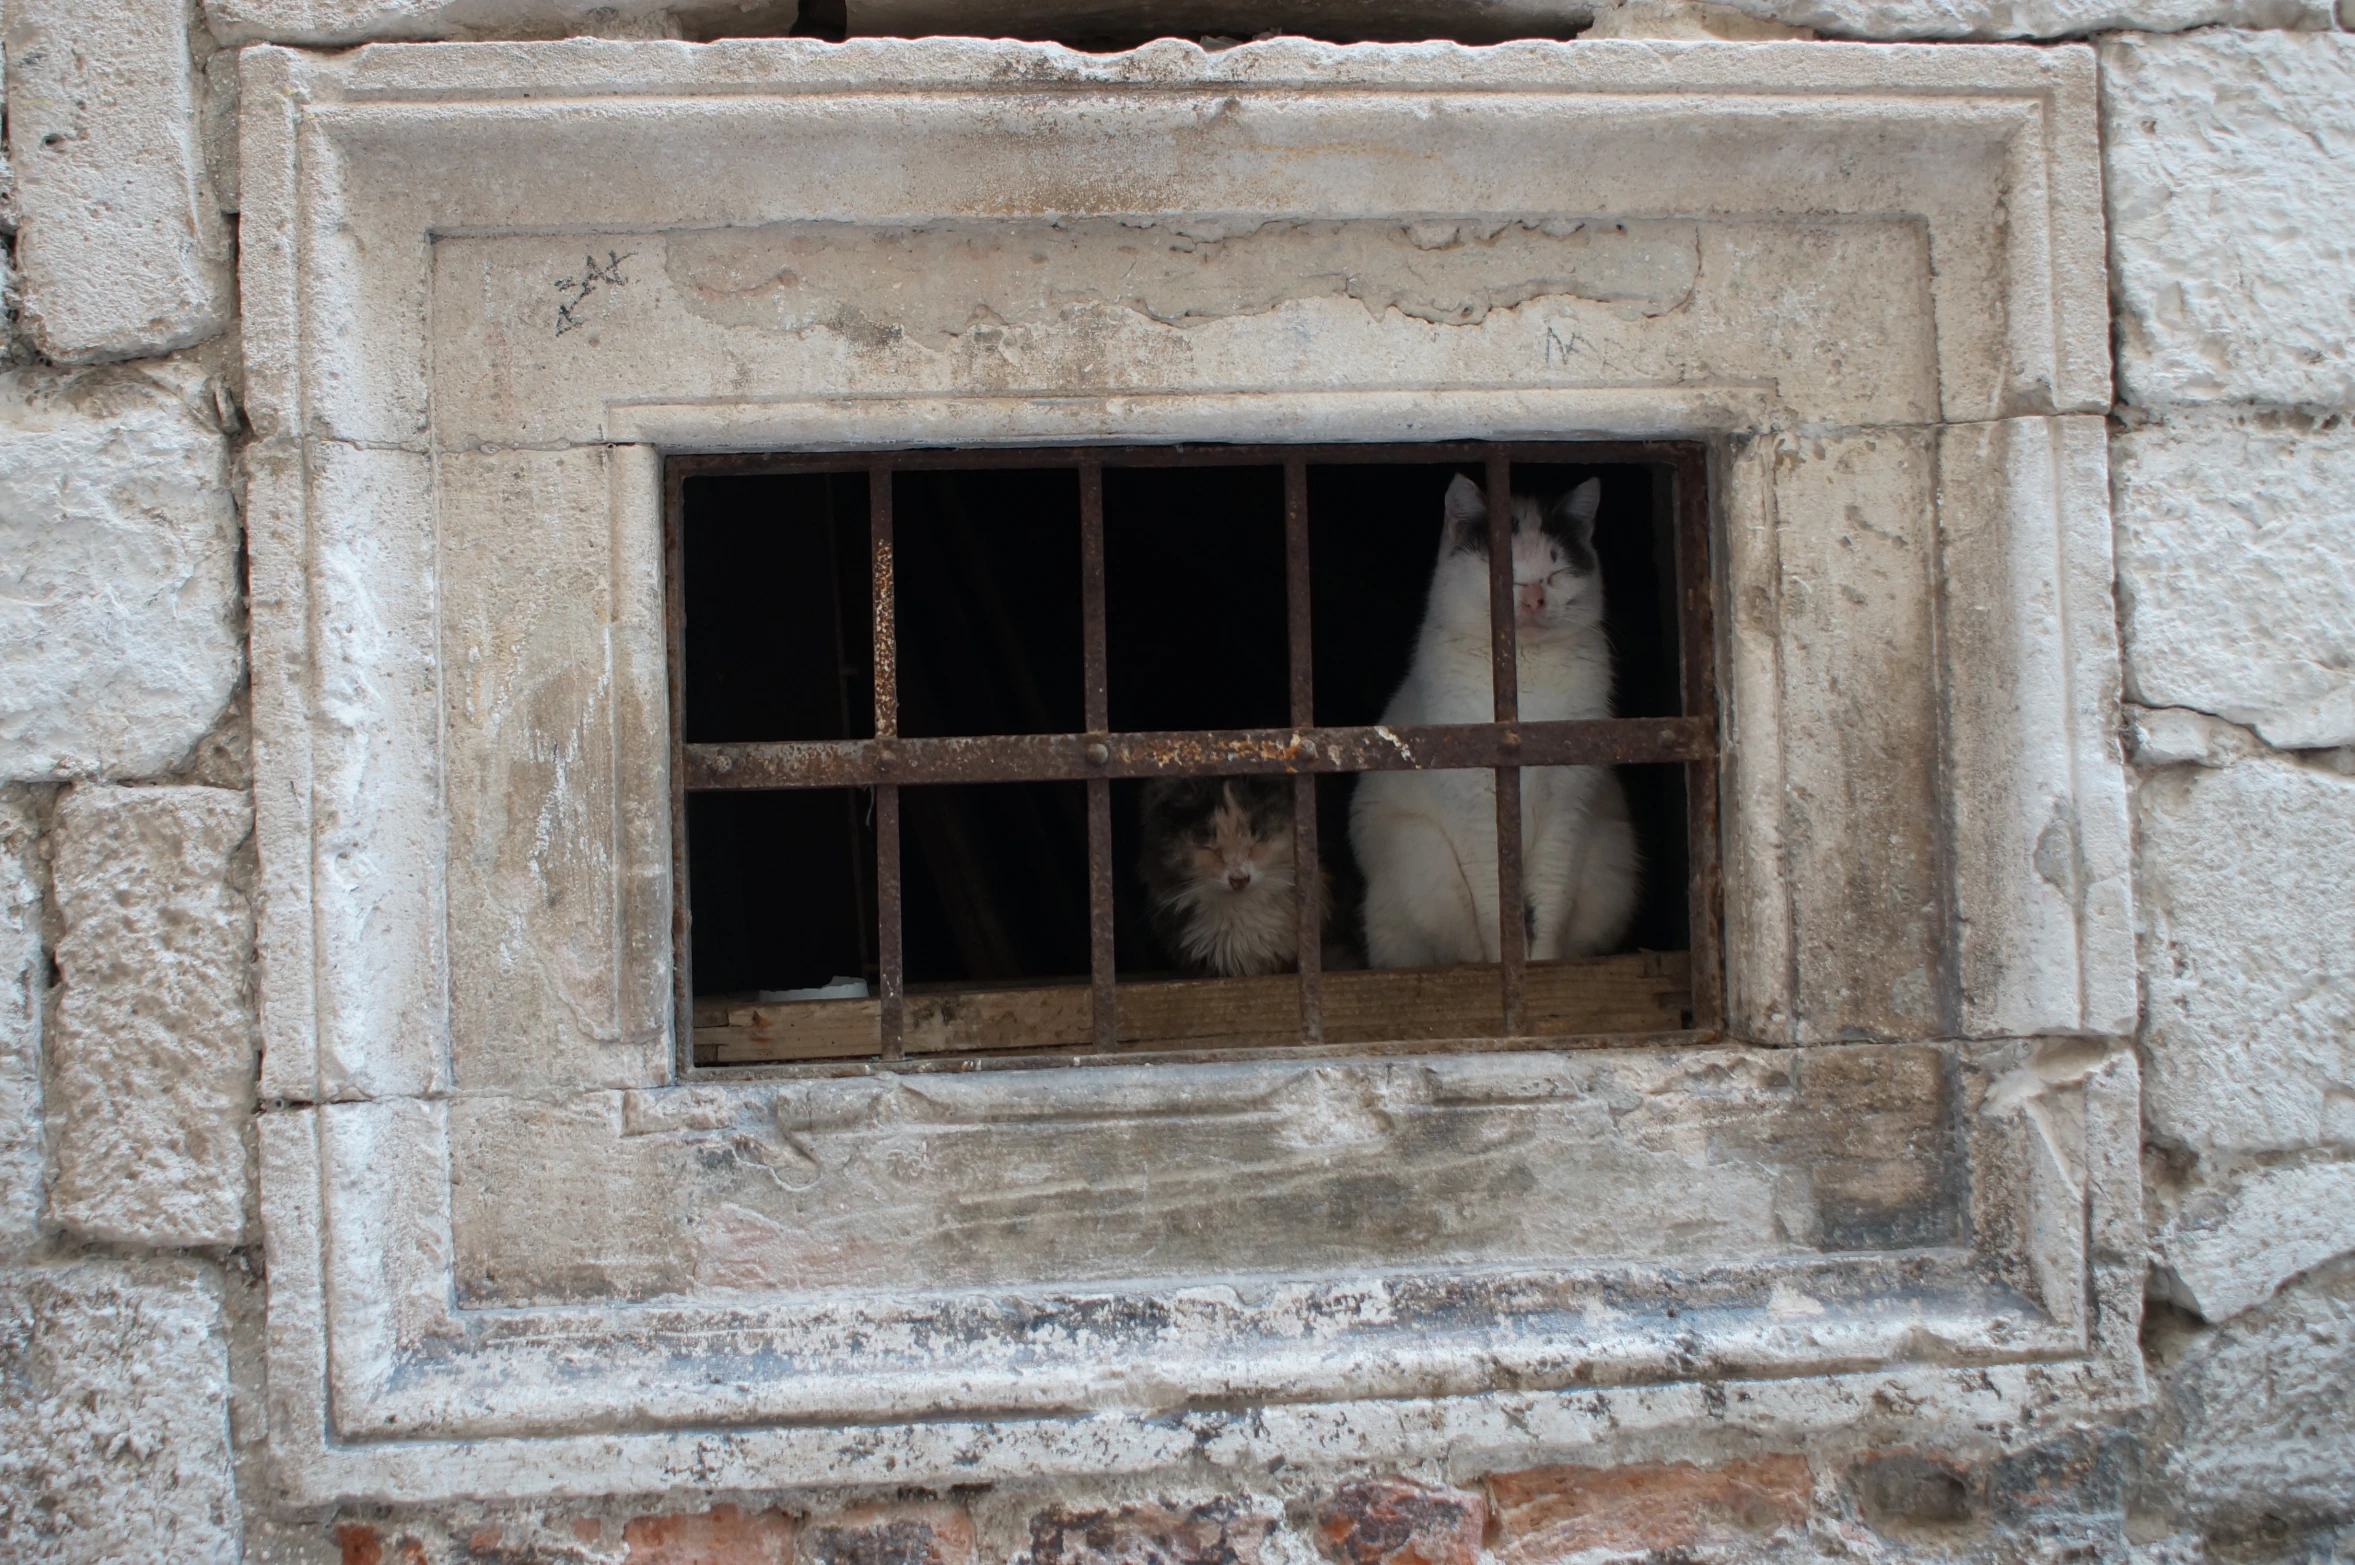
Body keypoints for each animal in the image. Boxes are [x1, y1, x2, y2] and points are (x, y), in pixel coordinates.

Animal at [1347, 473, 1639, 964]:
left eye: (1556, 573)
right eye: (1507, 574)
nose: (1535, 598)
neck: (1524, 676)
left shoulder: (1568, 806)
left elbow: (1549, 903)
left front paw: (1542, 966)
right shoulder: (1475, 809)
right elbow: (1494, 906)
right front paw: (1504, 963)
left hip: (1611, 854)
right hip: (1415, 851)